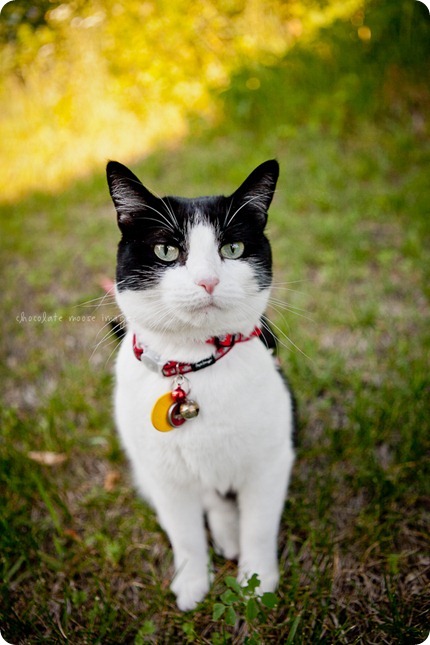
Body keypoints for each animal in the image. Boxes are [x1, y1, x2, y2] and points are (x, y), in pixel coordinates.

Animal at [107, 160, 296, 608]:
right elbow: (186, 535)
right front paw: (192, 582)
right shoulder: (163, 475)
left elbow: (259, 527)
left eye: (233, 249)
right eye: (166, 251)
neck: (192, 364)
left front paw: (257, 582)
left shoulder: (271, 461)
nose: (208, 281)